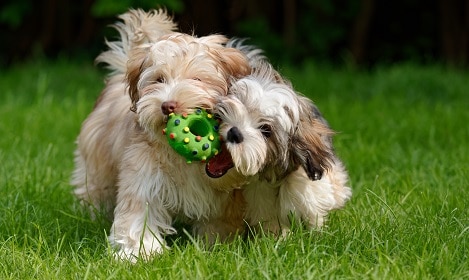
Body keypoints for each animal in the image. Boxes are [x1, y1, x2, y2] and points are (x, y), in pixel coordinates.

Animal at [71, 9, 250, 262]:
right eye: (158, 80)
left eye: (197, 80)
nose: (168, 105)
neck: (183, 158)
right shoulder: (143, 174)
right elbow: (139, 213)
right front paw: (140, 252)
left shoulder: (222, 198)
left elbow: (219, 222)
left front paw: (215, 247)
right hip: (97, 162)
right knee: (94, 188)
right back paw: (90, 216)